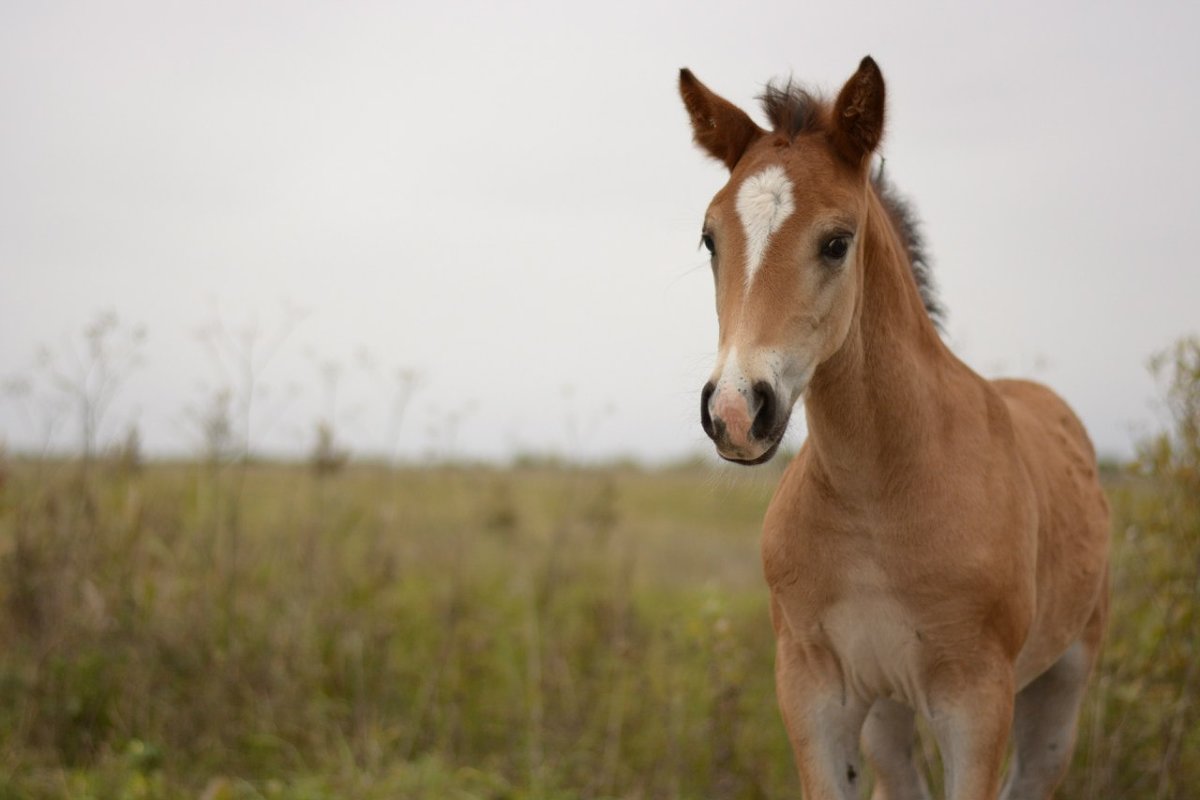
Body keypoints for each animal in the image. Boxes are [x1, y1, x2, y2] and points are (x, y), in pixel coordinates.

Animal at [681, 57, 1108, 800]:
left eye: (836, 243)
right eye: (711, 238)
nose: (735, 411)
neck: (877, 500)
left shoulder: (975, 703)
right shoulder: (813, 691)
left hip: (1060, 688)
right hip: (888, 714)